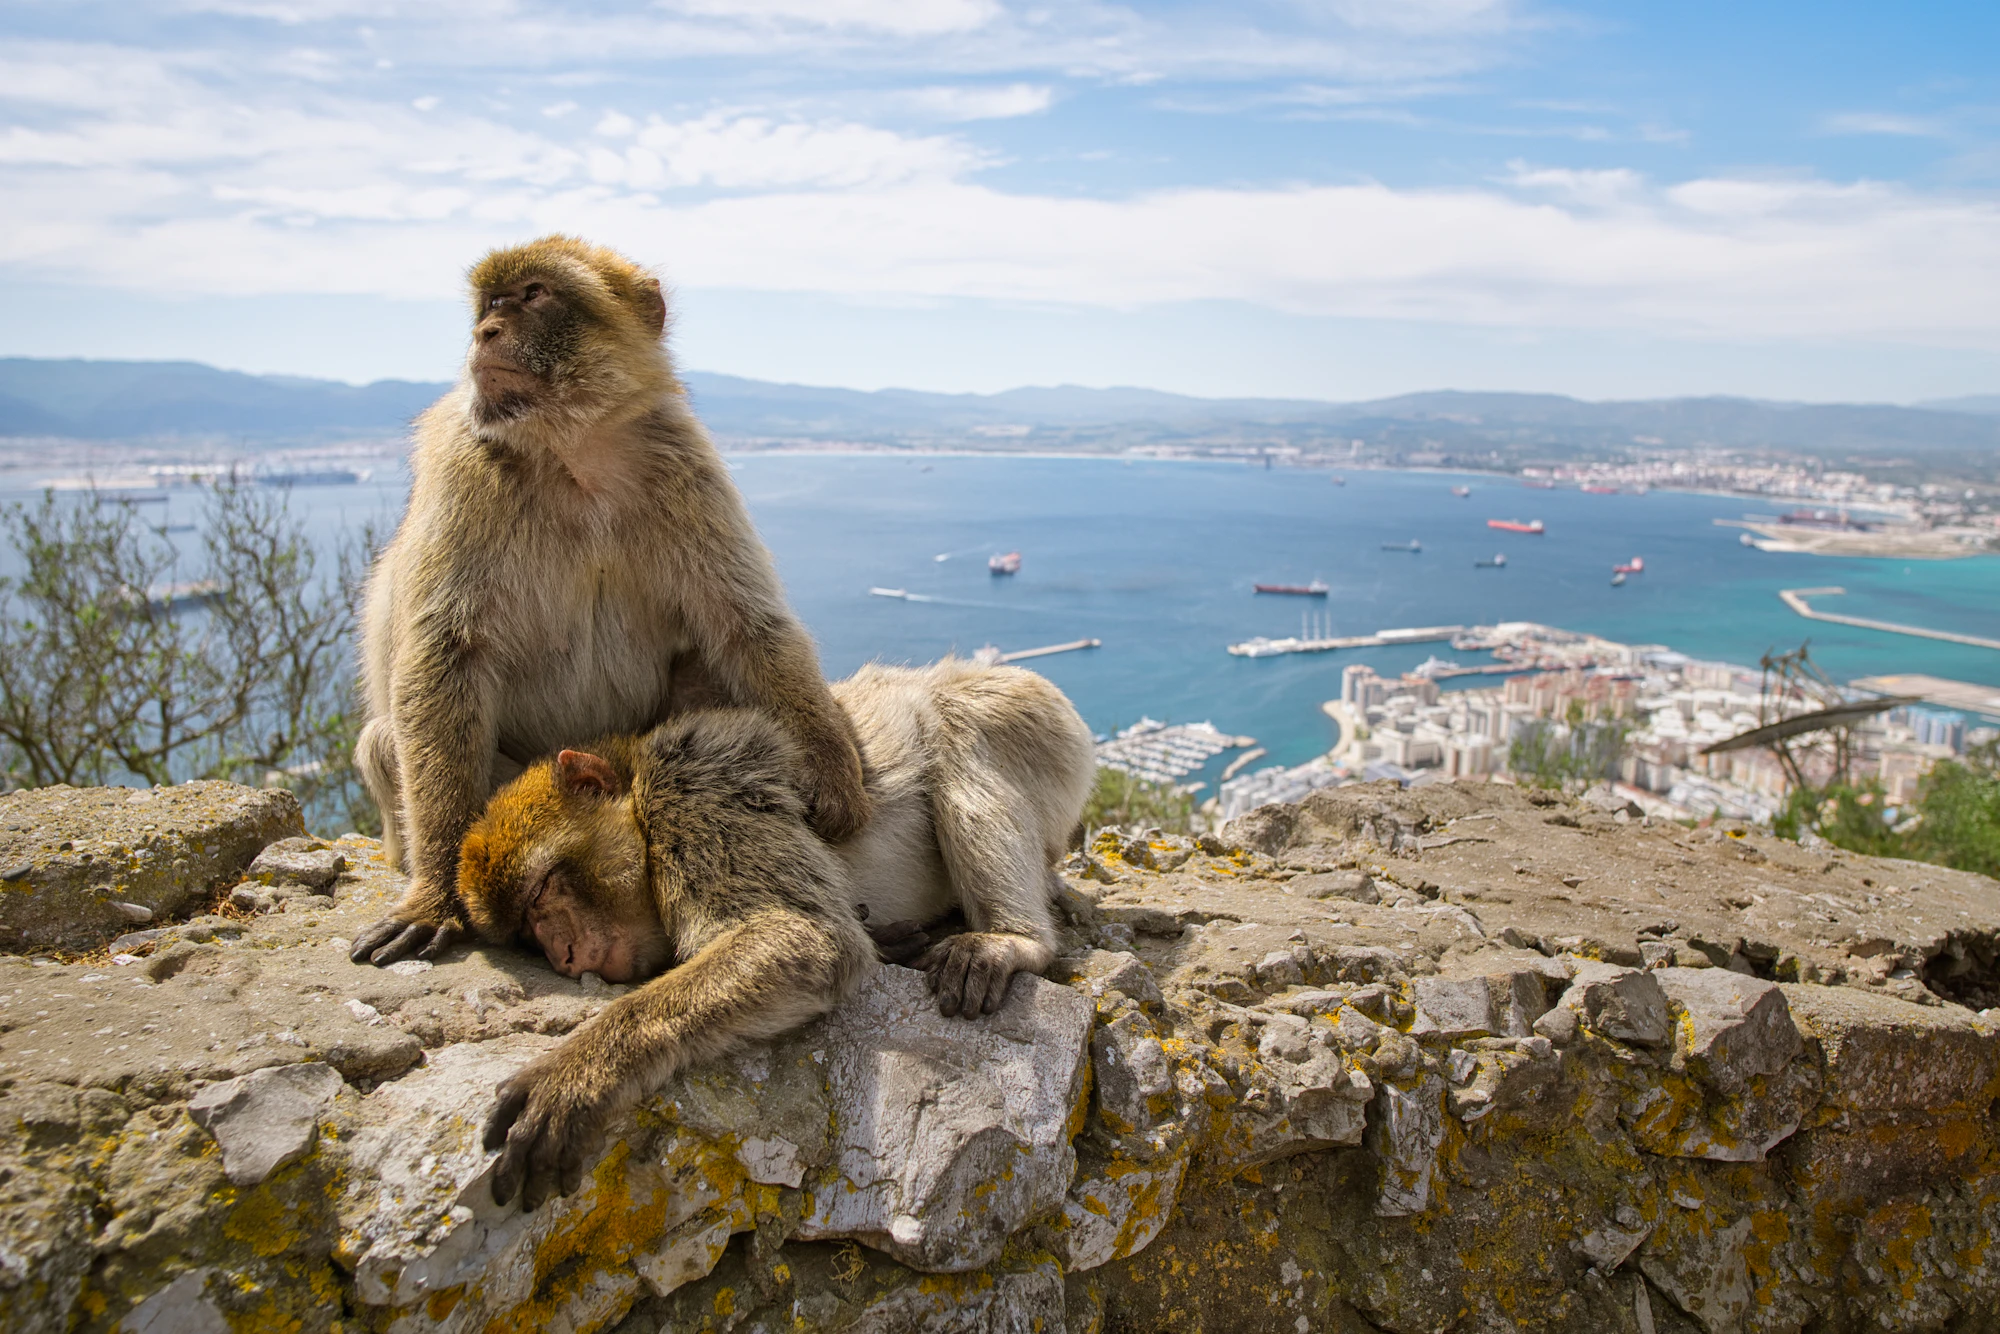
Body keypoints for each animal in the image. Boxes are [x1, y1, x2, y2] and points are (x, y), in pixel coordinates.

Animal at [348, 234, 869, 969]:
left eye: (533, 294)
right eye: (489, 303)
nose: (485, 332)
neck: (575, 452)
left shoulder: (684, 463)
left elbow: (747, 627)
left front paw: (833, 767)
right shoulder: (463, 468)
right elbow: (447, 656)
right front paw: (435, 895)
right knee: (384, 741)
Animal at [460, 659, 1095, 1207]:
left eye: (542, 890)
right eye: (526, 933)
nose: (562, 955)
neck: (639, 789)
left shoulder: (693, 788)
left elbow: (805, 935)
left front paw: (576, 1075)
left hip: (1040, 722)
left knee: (960, 727)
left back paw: (1012, 939)